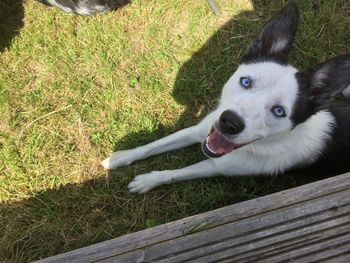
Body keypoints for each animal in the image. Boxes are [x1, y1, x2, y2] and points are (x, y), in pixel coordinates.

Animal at [101, 2, 350, 194]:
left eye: (279, 111)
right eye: (246, 82)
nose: (229, 122)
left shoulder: (218, 166)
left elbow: (176, 173)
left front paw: (149, 180)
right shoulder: (201, 129)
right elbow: (154, 145)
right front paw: (121, 157)